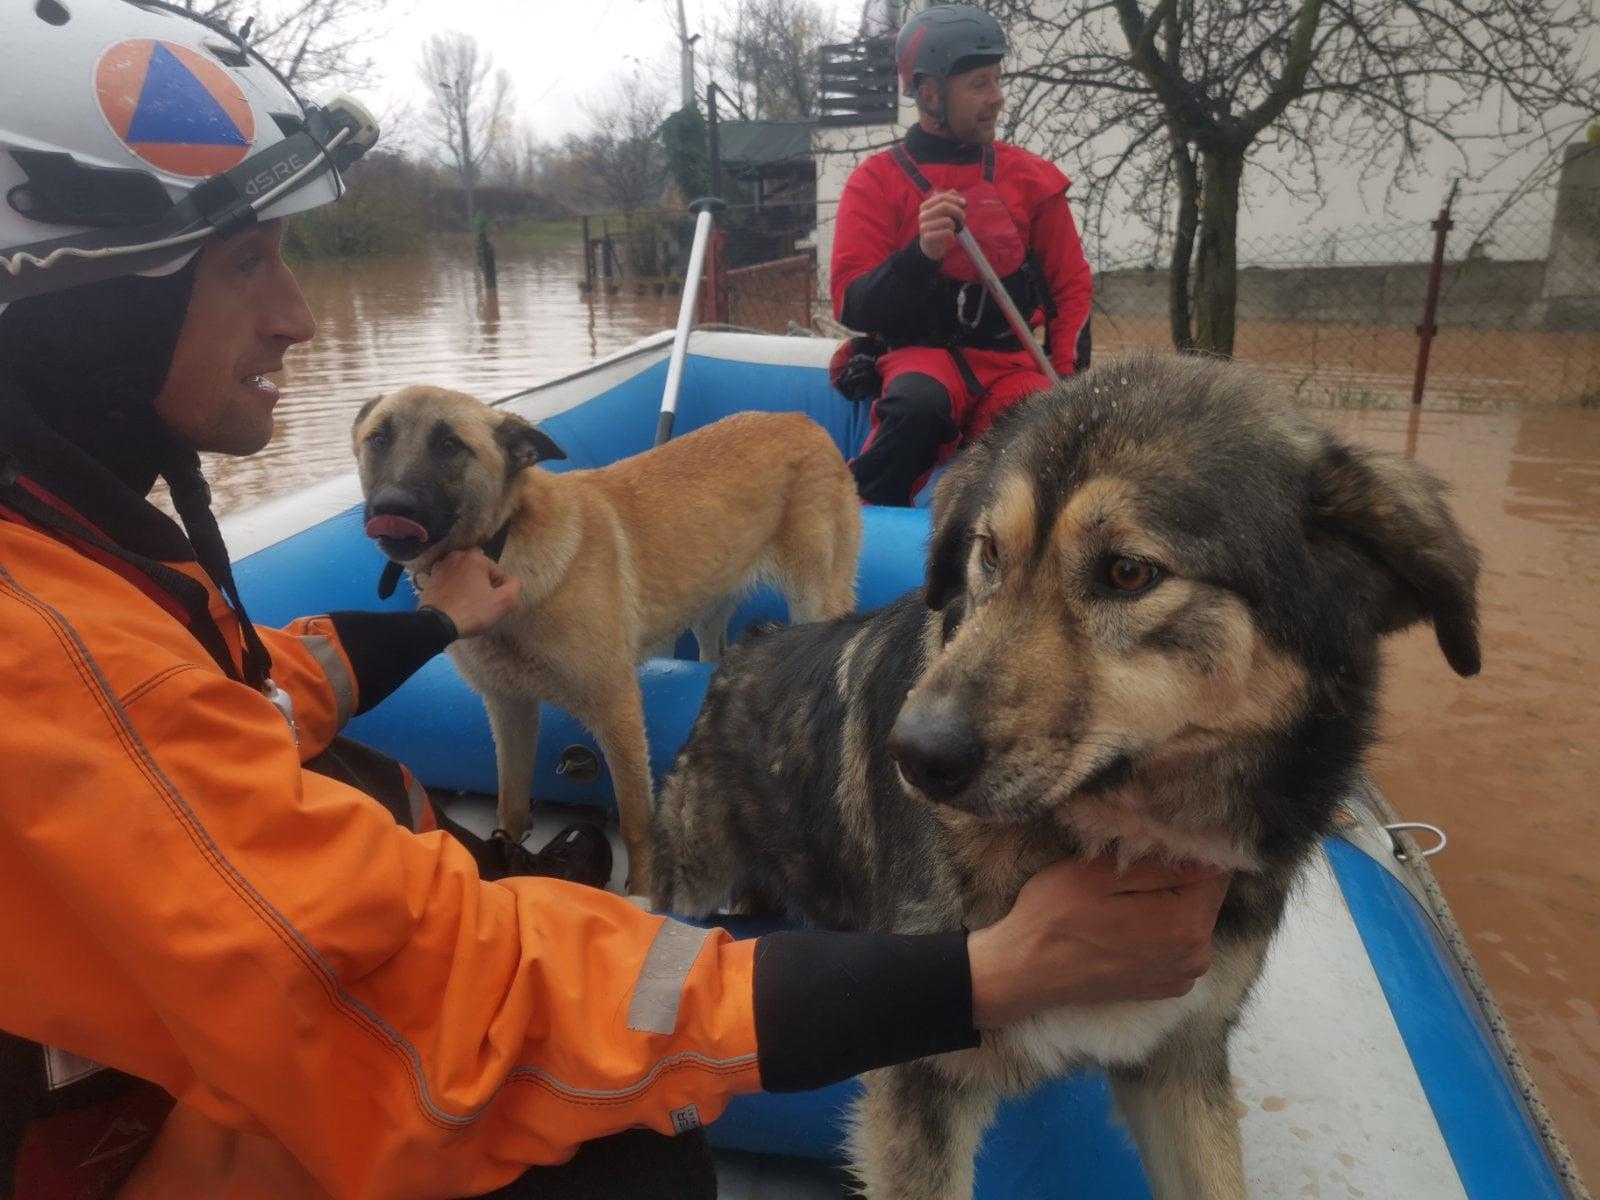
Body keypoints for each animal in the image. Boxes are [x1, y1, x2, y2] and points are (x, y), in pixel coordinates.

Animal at [355, 387, 864, 896]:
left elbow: (637, 819)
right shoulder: (509, 707)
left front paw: (643, 893)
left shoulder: (617, 710)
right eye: (378, 439)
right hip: (707, 604)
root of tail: (802, 419)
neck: (503, 544)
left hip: (813, 599)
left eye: (449, 445)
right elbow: (511, 802)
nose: (390, 508)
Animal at [646, 355, 1472, 1200]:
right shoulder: (922, 1085)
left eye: (1129, 572)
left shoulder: (1177, 1060)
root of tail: (746, 651)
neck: (1116, 842)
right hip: (691, 883)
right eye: (988, 553)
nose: (912, 754)